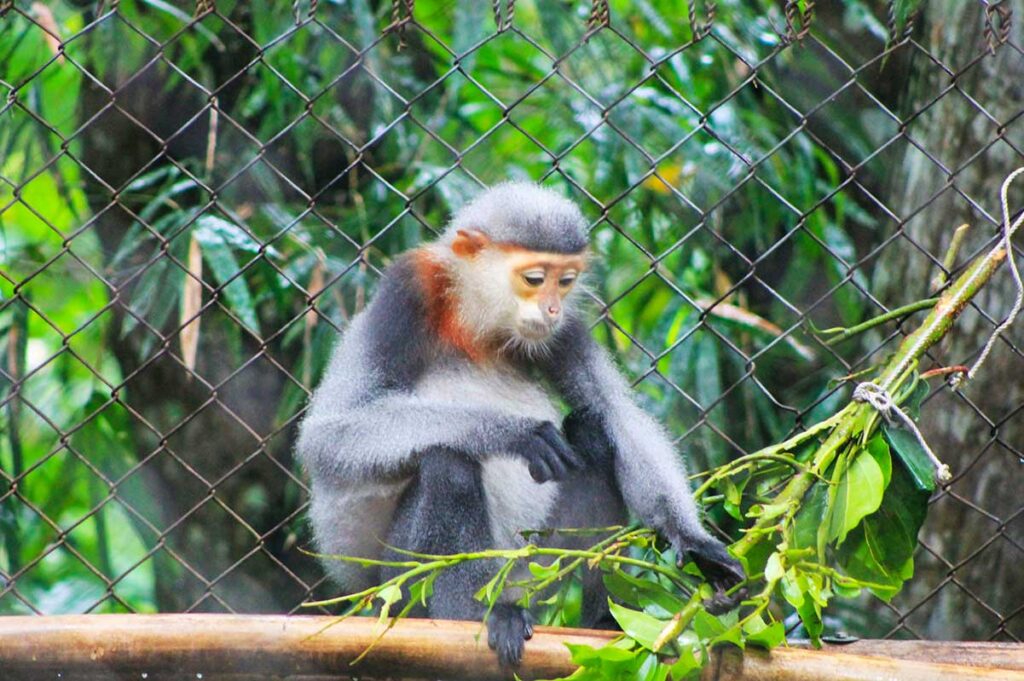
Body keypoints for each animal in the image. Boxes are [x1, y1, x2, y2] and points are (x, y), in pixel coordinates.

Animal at [296, 179, 745, 663]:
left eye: (566, 282)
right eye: (534, 279)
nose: (551, 308)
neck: (476, 325)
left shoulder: (565, 328)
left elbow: (616, 415)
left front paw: (694, 542)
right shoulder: (406, 289)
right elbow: (326, 435)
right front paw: (512, 433)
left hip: (534, 566)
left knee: (593, 431)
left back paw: (603, 621)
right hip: (396, 586)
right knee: (447, 465)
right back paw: (471, 617)